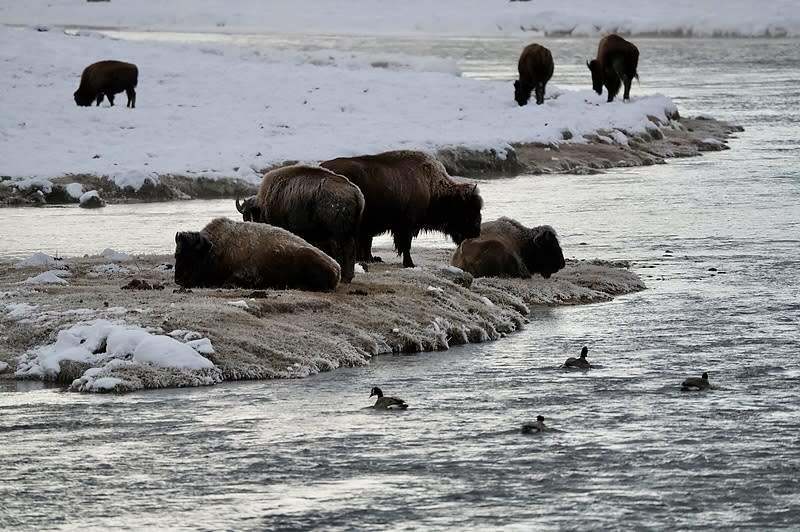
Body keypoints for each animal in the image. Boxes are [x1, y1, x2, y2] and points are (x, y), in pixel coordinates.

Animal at [318, 150, 482, 268]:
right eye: (468, 210)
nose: (476, 232)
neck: (431, 186)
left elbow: (368, 243)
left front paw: (371, 259)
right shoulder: (406, 226)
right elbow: (405, 246)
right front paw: (409, 264)